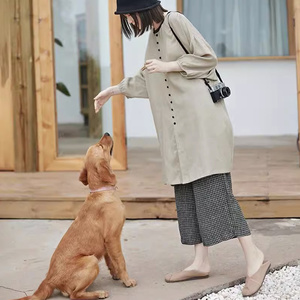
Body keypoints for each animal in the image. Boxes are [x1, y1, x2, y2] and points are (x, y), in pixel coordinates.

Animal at [14, 134, 136, 300]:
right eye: (101, 146)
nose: (106, 133)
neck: (101, 191)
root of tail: (49, 280)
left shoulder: (106, 243)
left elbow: (111, 261)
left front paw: (116, 275)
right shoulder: (112, 237)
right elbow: (121, 261)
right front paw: (127, 280)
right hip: (91, 260)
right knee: (75, 295)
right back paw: (99, 293)